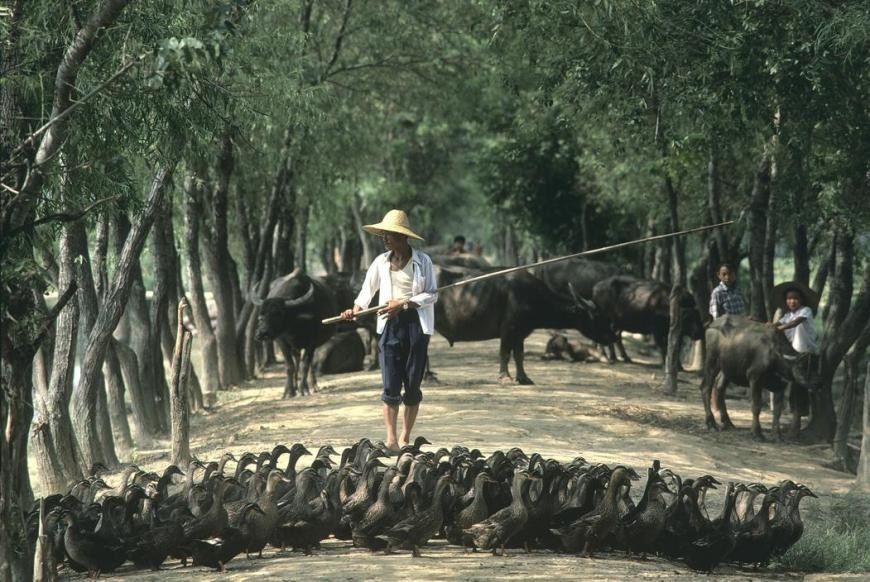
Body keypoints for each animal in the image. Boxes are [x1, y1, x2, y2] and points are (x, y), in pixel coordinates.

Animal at [432, 266, 616, 386]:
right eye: (597, 316)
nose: (611, 336)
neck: (533, 297)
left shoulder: (520, 333)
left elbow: (519, 355)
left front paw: (523, 378)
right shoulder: (508, 330)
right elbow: (505, 354)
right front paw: (504, 377)